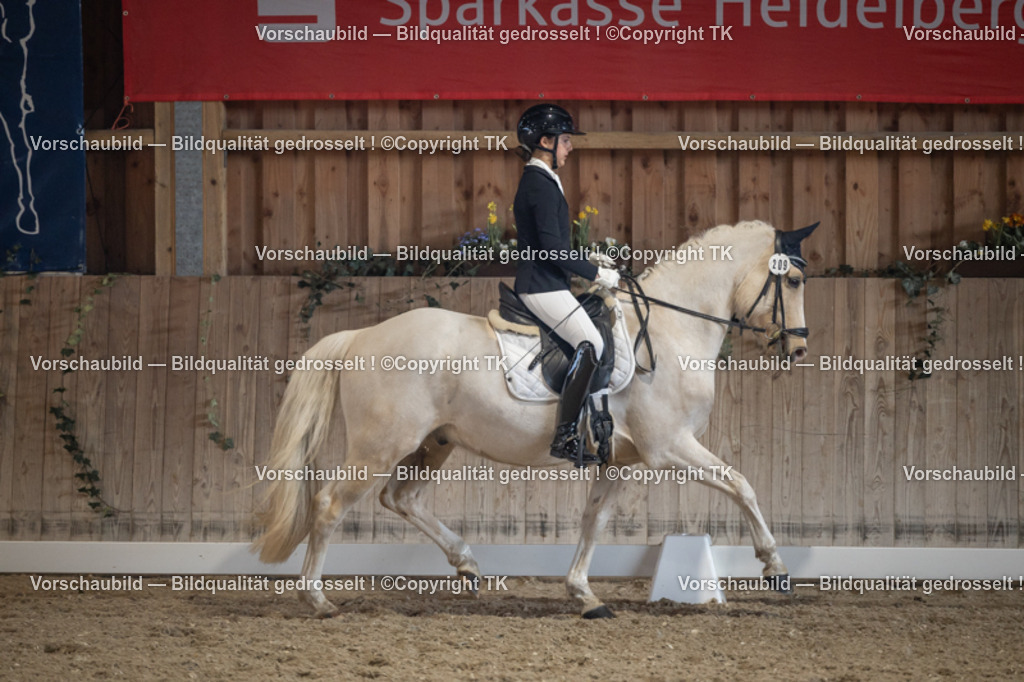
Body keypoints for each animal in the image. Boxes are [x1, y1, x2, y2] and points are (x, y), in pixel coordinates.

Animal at [252, 219, 817, 618]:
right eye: (792, 280)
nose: (799, 349)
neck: (670, 331)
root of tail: (361, 335)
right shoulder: (669, 447)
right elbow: (741, 484)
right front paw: (776, 568)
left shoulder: (619, 461)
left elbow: (593, 521)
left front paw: (583, 593)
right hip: (379, 444)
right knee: (329, 505)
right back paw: (317, 600)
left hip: (434, 442)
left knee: (401, 498)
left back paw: (467, 563)